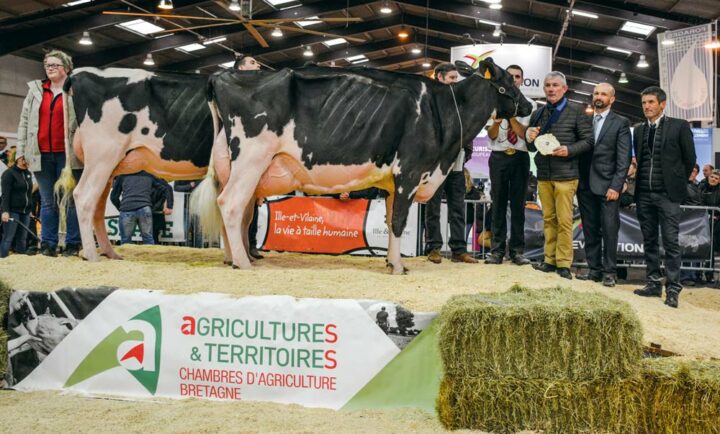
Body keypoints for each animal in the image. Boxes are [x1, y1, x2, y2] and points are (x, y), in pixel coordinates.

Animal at [64, 68, 219, 262]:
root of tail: (78, 72)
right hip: (102, 156)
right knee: (84, 197)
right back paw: (93, 256)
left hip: (107, 168)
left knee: (98, 207)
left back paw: (110, 253)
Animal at [205, 59, 532, 272]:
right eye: (508, 83)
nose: (529, 106)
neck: (445, 111)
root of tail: (220, 76)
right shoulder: (409, 173)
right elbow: (399, 220)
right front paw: (398, 266)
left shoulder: (392, 182)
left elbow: (389, 221)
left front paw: (389, 259)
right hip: (251, 158)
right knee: (231, 205)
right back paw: (243, 262)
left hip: (238, 167)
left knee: (235, 211)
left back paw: (232, 258)